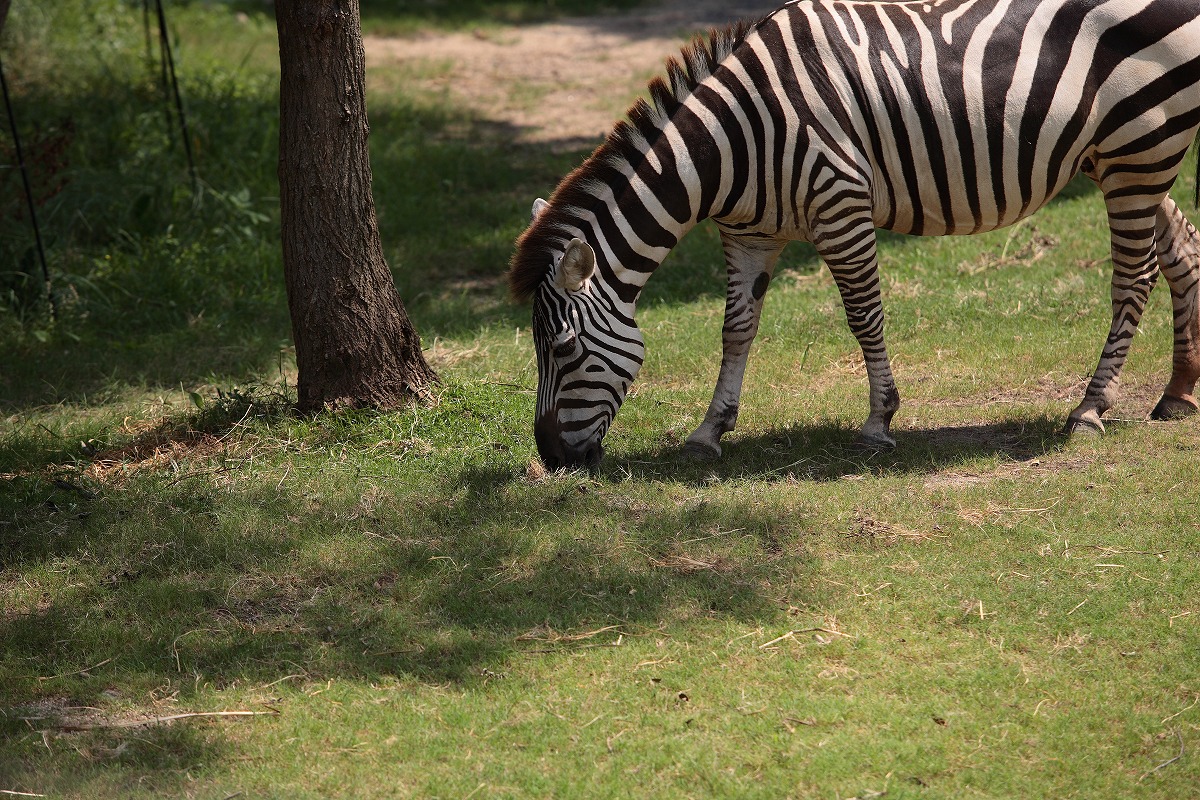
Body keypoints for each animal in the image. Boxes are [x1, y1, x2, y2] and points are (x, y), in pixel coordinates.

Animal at [506, 0, 1200, 470]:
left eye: (563, 350)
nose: (552, 458)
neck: (734, 142)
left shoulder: (839, 203)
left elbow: (864, 315)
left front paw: (878, 420)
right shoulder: (748, 233)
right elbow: (735, 329)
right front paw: (709, 430)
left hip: (1139, 149)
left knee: (1133, 277)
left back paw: (1091, 409)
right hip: (1123, 157)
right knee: (1182, 248)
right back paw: (1178, 393)